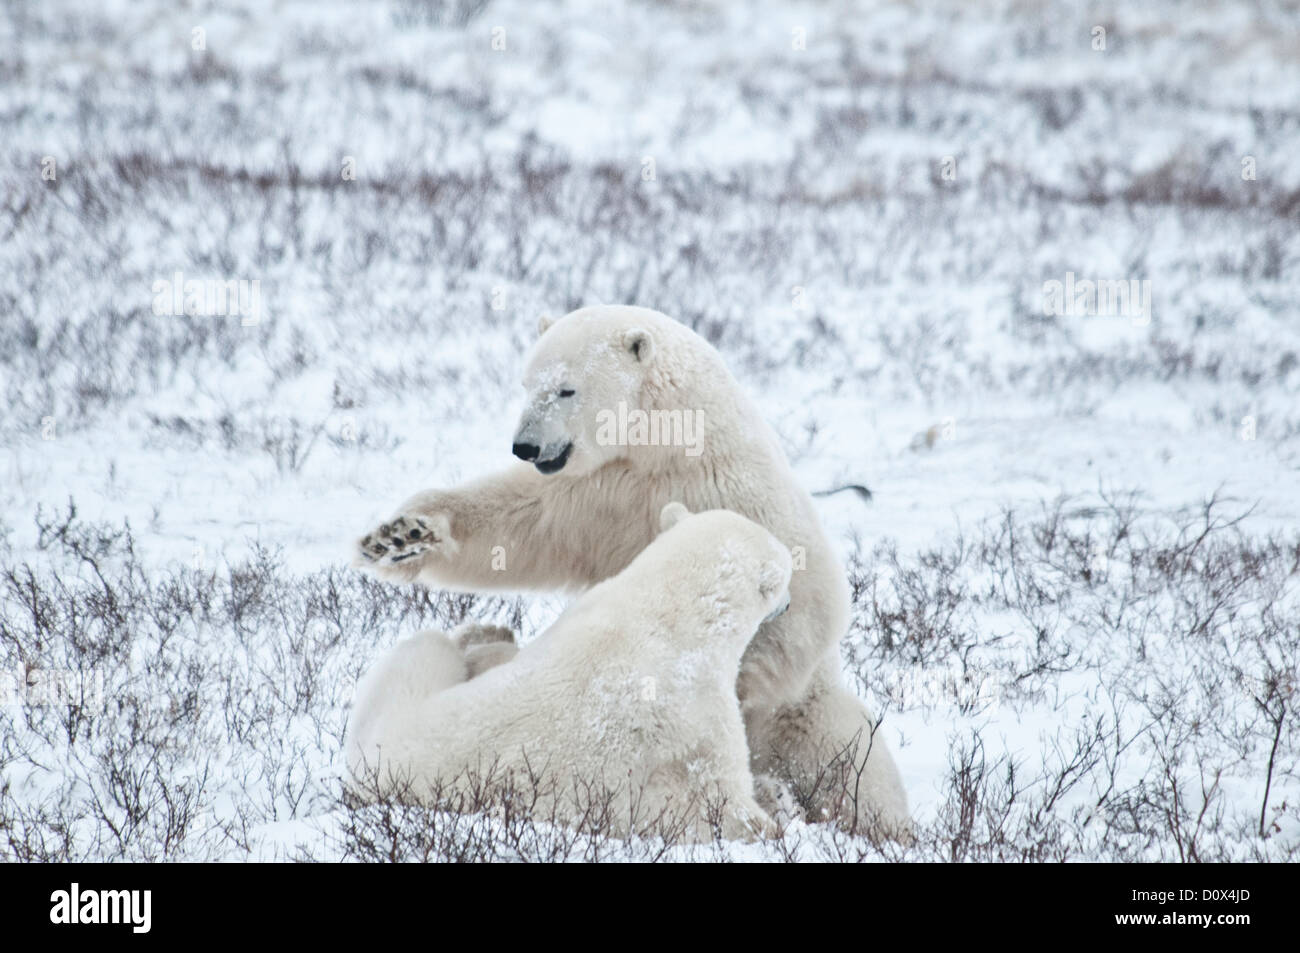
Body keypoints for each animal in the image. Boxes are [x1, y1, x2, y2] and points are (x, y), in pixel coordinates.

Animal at [345, 501, 785, 837]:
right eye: (784, 580)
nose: (787, 601)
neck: (669, 609)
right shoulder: (696, 706)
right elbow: (717, 798)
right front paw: (771, 817)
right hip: (401, 702)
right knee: (429, 648)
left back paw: (490, 634)